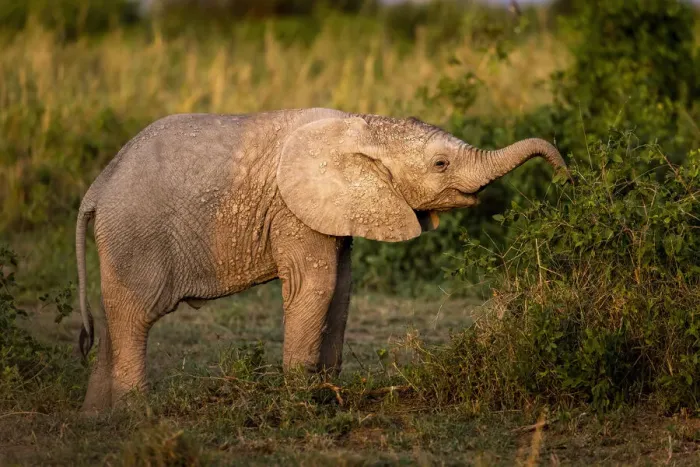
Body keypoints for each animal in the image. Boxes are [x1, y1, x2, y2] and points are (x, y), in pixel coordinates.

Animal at [75, 107, 568, 412]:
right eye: (441, 164)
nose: (564, 176)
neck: (366, 125)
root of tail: (97, 187)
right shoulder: (295, 209)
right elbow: (316, 285)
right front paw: (300, 401)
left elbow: (342, 289)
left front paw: (327, 394)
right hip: (135, 232)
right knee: (135, 316)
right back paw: (138, 414)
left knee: (114, 316)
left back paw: (96, 418)